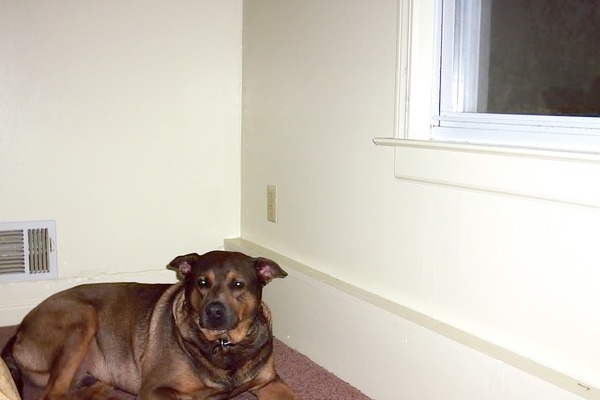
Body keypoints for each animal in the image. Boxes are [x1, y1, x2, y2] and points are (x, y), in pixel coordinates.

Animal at [1, 250, 297, 400]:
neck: (223, 344)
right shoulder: (157, 389)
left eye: (238, 284)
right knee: (54, 394)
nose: (213, 312)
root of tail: (19, 331)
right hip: (82, 317)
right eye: (202, 282)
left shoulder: (271, 383)